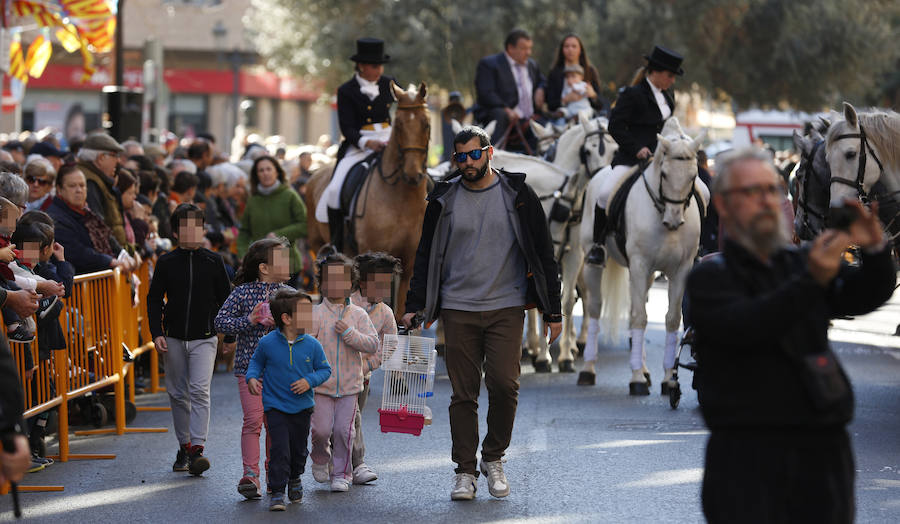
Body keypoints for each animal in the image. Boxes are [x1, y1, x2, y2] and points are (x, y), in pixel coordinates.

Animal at [306, 83, 432, 320]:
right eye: (398, 125)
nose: (413, 175)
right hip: (318, 245)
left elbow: (398, 311)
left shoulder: (409, 262)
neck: (401, 201)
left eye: (427, 124)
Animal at [580, 118, 708, 396]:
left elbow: (671, 319)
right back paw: (588, 369)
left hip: (648, 275)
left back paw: (646, 370)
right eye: (664, 174)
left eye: (693, 176)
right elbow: (639, 317)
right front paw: (636, 379)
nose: (673, 220)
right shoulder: (639, 265)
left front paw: (669, 379)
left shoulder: (679, 270)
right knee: (595, 308)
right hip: (593, 263)